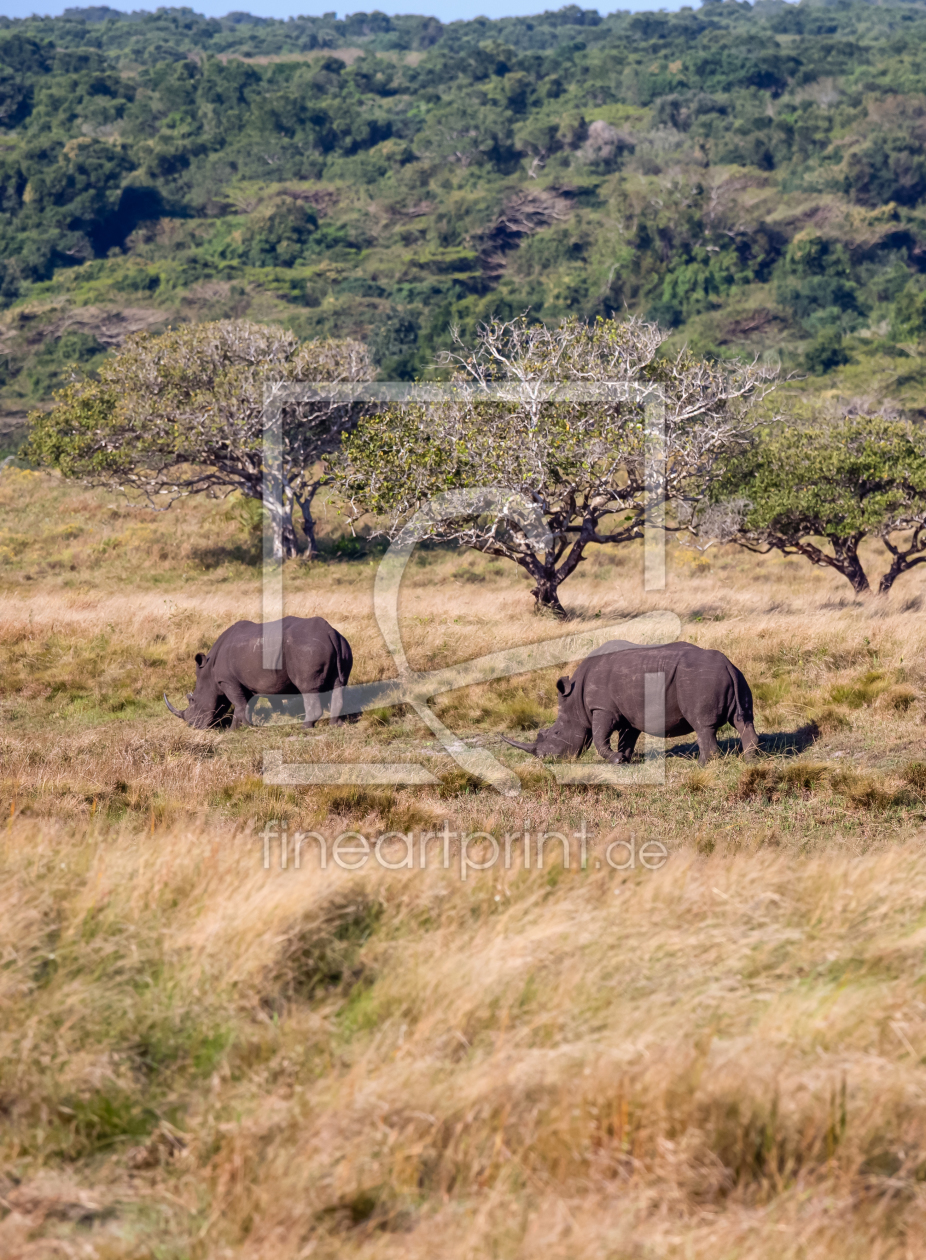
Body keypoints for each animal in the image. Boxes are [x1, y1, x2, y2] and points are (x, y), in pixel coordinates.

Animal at [165, 617, 352, 735]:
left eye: (193, 700)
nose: (192, 726)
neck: (208, 673)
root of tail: (329, 632)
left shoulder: (227, 681)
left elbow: (239, 705)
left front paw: (238, 730)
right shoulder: (244, 682)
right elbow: (245, 705)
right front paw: (241, 728)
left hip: (306, 649)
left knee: (307, 688)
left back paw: (304, 728)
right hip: (343, 645)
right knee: (339, 685)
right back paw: (336, 725)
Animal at [503, 640, 755, 766]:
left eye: (555, 733)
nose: (544, 760)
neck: (574, 701)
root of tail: (727, 664)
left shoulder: (601, 708)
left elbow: (599, 738)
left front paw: (615, 760)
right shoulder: (628, 712)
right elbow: (627, 738)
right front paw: (623, 759)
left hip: (698, 680)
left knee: (703, 726)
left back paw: (702, 766)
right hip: (737, 676)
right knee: (743, 720)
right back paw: (751, 761)